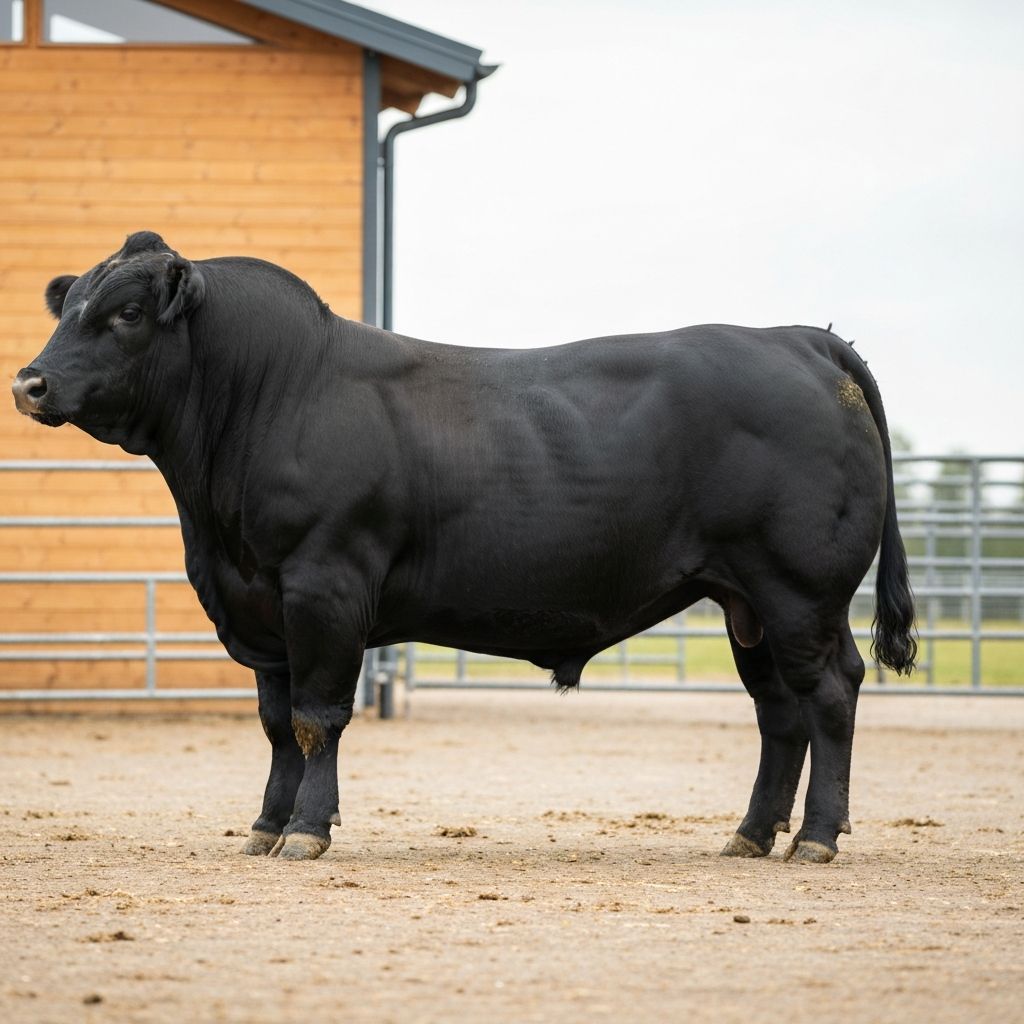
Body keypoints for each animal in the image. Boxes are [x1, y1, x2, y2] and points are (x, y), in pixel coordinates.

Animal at [12, 231, 916, 863]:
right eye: (68, 305)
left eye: (127, 312)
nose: (29, 382)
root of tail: (795, 337)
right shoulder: (259, 604)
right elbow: (275, 723)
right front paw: (265, 825)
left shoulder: (324, 585)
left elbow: (316, 718)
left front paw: (307, 829)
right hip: (743, 602)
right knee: (778, 713)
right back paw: (751, 834)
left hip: (800, 590)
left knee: (830, 694)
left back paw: (817, 838)